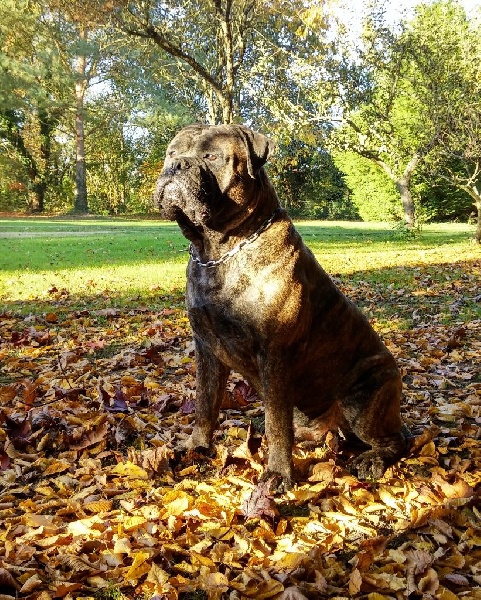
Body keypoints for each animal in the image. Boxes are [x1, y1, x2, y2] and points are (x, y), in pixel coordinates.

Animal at [154, 123, 406, 489]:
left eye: (211, 156)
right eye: (172, 153)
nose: (176, 166)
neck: (219, 251)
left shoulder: (274, 353)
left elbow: (275, 420)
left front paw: (277, 472)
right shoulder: (206, 348)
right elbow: (205, 404)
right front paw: (196, 447)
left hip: (364, 397)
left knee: (398, 440)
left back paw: (371, 460)